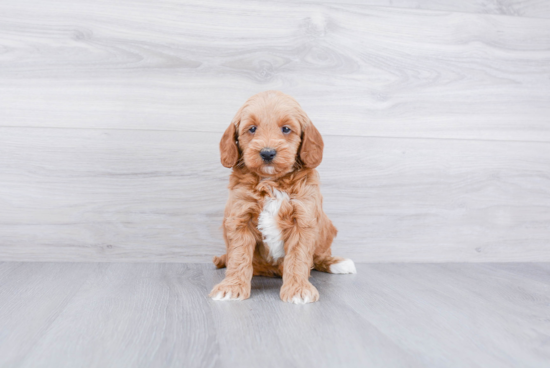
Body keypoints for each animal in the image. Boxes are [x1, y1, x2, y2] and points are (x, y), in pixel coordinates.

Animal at [211, 90, 358, 304]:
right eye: (252, 129)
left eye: (286, 129)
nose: (267, 153)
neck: (271, 182)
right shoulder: (239, 216)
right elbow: (238, 256)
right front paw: (232, 287)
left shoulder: (304, 218)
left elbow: (298, 257)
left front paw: (298, 289)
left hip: (327, 227)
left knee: (318, 256)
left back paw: (337, 262)